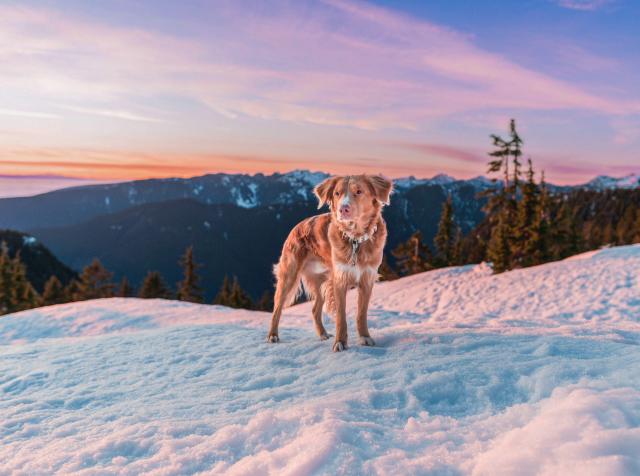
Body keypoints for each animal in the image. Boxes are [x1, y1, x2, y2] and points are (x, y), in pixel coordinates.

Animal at [268, 174, 392, 350]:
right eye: (337, 193)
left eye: (359, 191)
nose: (343, 209)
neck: (355, 240)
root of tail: (296, 228)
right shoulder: (339, 279)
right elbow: (341, 316)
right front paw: (340, 343)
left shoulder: (367, 279)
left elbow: (361, 314)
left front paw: (365, 337)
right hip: (289, 276)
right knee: (277, 308)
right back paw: (273, 335)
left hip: (321, 280)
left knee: (315, 309)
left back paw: (322, 334)